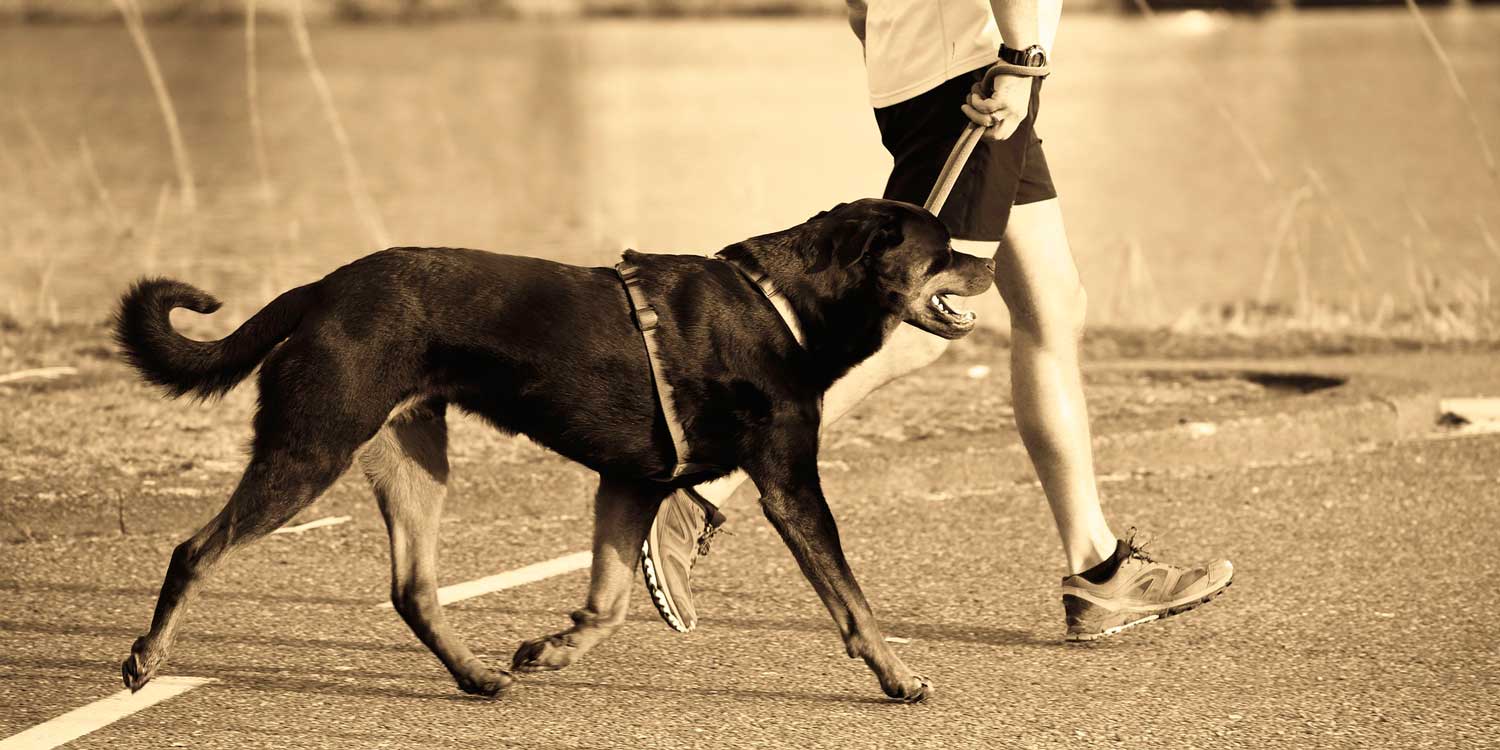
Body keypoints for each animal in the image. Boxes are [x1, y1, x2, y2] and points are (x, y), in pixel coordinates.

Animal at [114, 198, 996, 702]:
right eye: (945, 245)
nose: (991, 263)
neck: (782, 302)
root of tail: (323, 288)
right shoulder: (789, 484)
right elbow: (853, 600)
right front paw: (899, 678)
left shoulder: (630, 483)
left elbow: (608, 602)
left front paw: (553, 651)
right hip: (312, 446)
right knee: (195, 549)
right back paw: (147, 658)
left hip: (413, 456)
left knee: (412, 588)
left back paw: (475, 675)